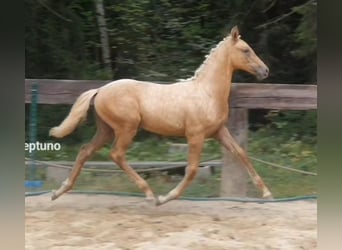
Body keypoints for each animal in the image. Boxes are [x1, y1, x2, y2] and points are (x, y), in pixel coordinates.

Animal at [49, 26, 272, 205]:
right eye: (245, 50)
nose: (265, 71)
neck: (206, 92)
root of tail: (100, 89)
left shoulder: (219, 131)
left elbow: (241, 153)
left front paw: (267, 193)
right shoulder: (196, 136)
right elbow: (192, 169)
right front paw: (166, 198)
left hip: (106, 130)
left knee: (85, 151)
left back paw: (59, 191)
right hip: (126, 128)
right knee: (117, 155)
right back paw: (150, 195)